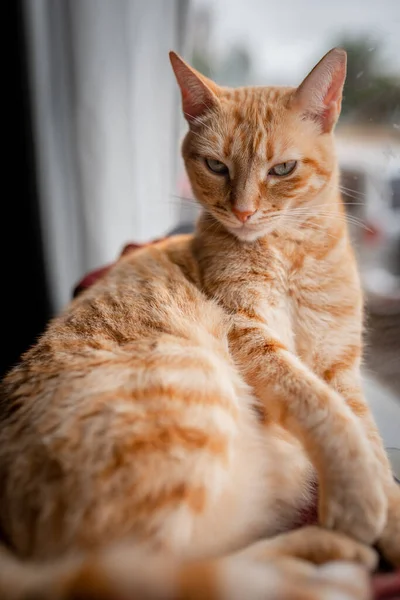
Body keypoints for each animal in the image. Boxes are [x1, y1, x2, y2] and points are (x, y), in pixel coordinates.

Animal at [0, 49, 400, 596]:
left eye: (282, 169)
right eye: (216, 166)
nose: (244, 212)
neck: (290, 251)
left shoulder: (341, 366)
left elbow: (368, 440)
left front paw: (389, 514)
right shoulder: (250, 334)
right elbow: (321, 408)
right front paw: (358, 499)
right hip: (190, 406)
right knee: (174, 571)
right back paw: (328, 562)